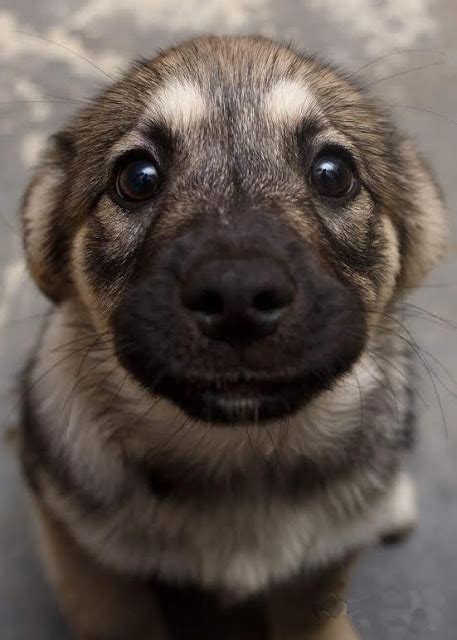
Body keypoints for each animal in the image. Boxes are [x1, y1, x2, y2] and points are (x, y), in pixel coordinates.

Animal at [19, 36, 444, 640]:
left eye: (333, 173)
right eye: (138, 178)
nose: (238, 296)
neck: (240, 456)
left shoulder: (322, 567)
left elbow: (316, 613)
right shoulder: (81, 547)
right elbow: (115, 611)